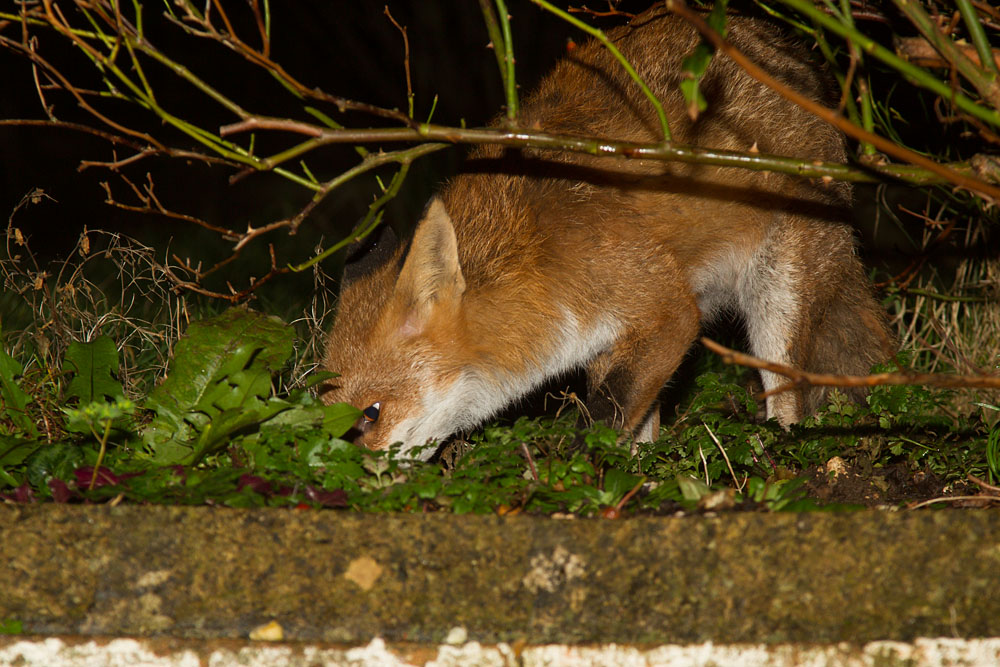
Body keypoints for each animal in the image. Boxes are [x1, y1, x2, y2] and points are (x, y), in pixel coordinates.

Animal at [321, 5, 896, 460]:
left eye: (370, 414)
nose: (338, 482)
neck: (531, 255)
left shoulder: (662, 308)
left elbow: (606, 418)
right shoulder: (606, 341)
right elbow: (636, 426)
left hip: (778, 297)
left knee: (789, 402)